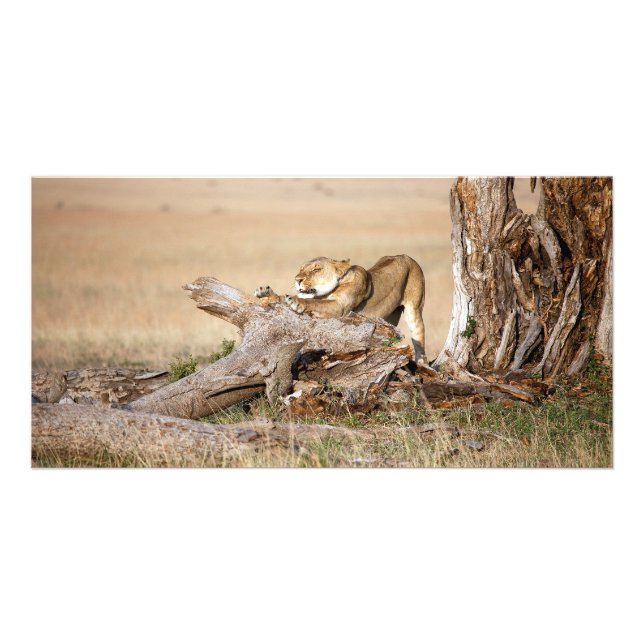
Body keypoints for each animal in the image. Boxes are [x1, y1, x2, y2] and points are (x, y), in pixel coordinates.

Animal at [253, 254, 427, 363]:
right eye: (301, 269)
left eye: (316, 269)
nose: (297, 280)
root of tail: (405, 256)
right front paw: (265, 293)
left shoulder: (340, 307)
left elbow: (314, 303)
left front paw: (295, 301)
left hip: (415, 311)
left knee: (420, 344)